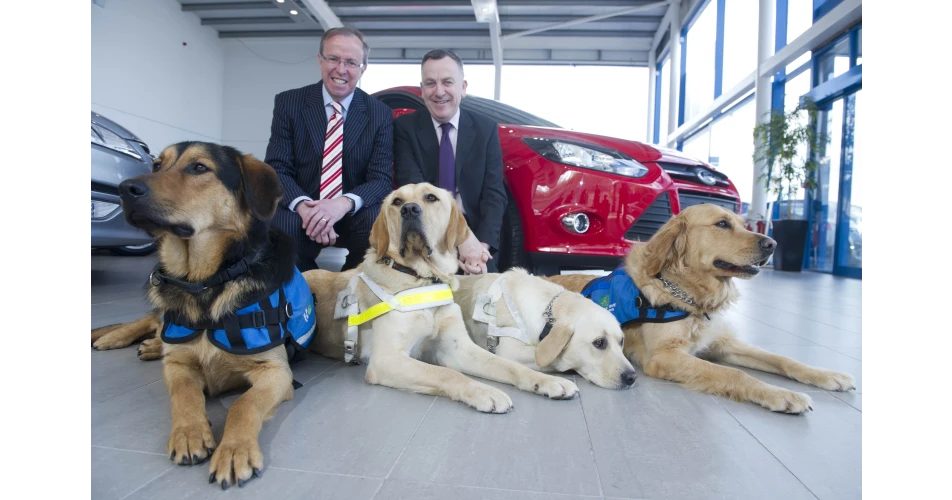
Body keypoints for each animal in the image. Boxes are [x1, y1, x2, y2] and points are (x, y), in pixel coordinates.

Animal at [304, 182, 576, 412]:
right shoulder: (387, 360)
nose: (409, 210)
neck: (423, 278)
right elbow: (447, 373)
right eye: (397, 201)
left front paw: (547, 380)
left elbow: (508, 365)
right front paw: (485, 392)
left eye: (431, 197)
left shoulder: (458, 347)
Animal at [456, 270, 636, 390]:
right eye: (599, 343)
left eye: (621, 341)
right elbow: (555, 358)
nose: (632, 377)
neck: (548, 311)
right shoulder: (509, 351)